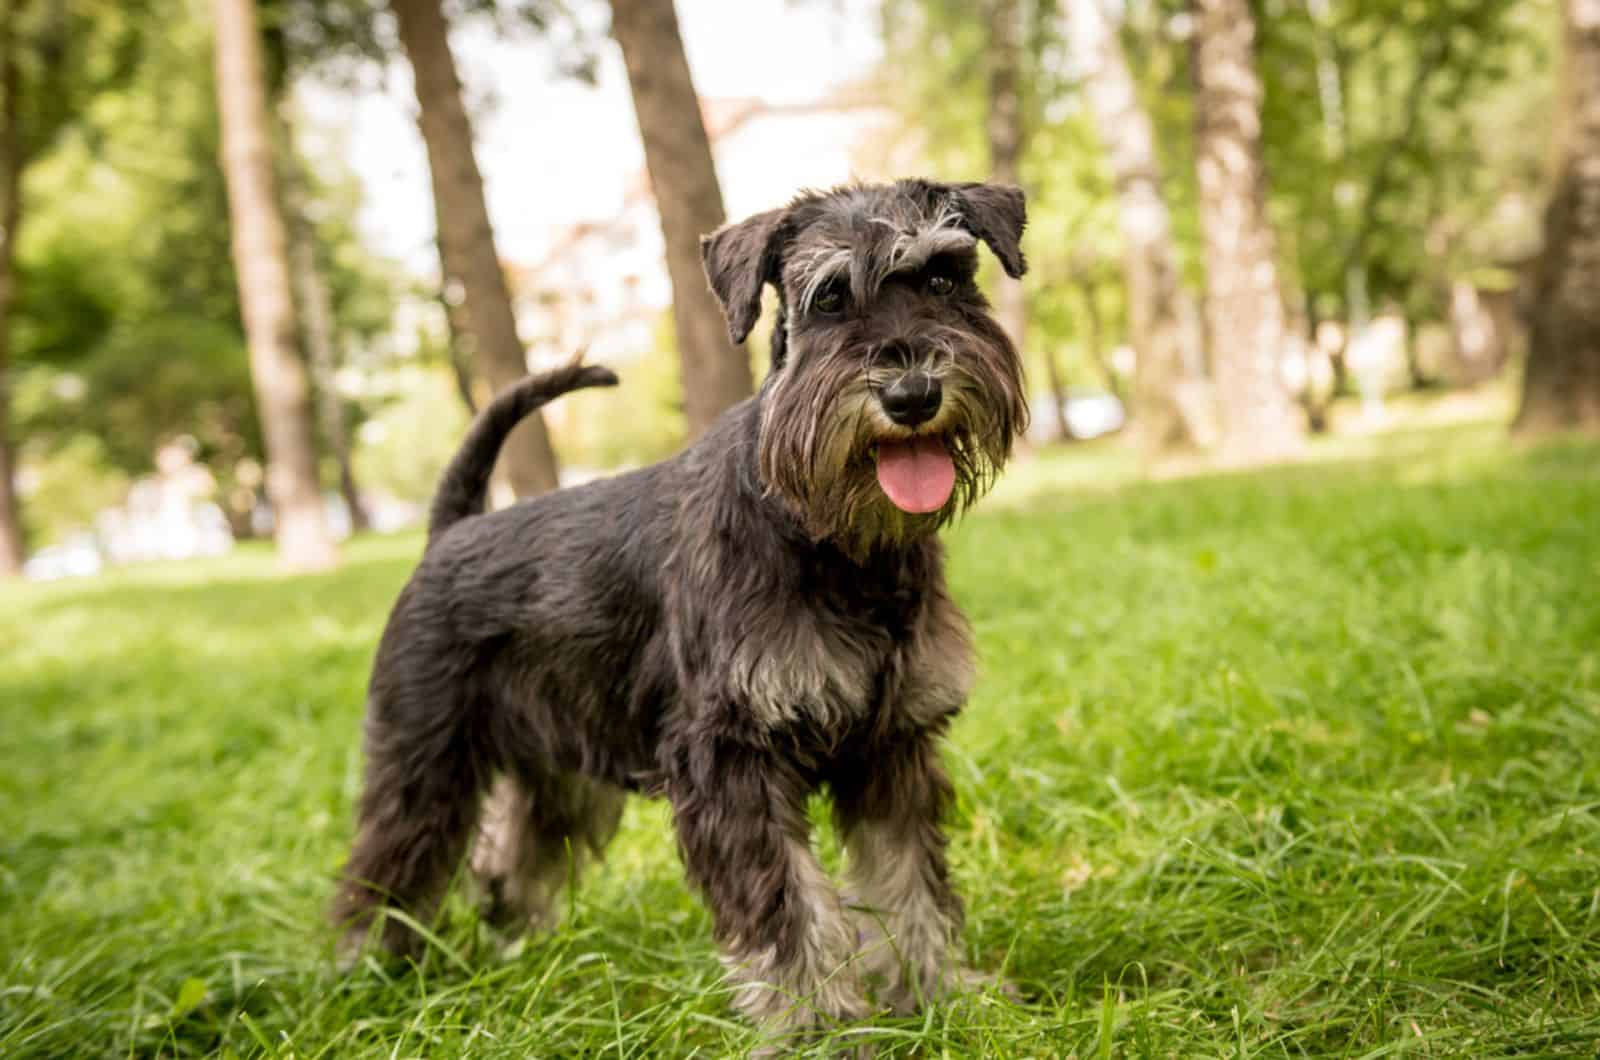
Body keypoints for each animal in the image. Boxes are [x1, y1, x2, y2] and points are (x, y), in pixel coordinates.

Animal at [331, 180, 1030, 1043]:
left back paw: (513, 945)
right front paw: (818, 1024)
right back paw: (369, 975)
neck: (837, 542)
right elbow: (787, 905)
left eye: (943, 277)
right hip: (426, 758)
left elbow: (907, 881)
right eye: (830, 297)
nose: (911, 394)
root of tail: (449, 530)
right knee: (388, 864)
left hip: (557, 769)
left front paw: (939, 993)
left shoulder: (890, 746)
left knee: (510, 856)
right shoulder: (728, 754)